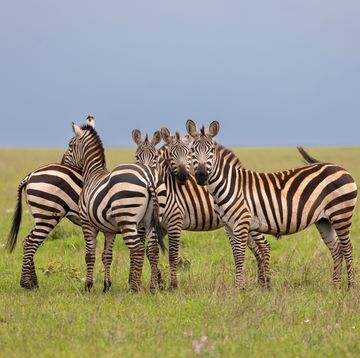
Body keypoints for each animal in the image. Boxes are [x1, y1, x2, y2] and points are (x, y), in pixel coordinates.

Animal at [62, 119, 167, 292]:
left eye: (70, 145)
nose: (62, 162)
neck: (92, 174)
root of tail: (148, 178)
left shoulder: (87, 223)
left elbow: (90, 255)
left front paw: (88, 286)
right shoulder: (109, 230)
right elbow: (107, 256)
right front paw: (106, 286)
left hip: (127, 218)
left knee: (138, 249)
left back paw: (135, 288)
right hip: (151, 220)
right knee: (152, 249)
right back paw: (152, 287)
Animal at [132, 127, 270, 290]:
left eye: (154, 158)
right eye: (137, 157)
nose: (184, 176)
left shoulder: (174, 221)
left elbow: (169, 254)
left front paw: (168, 285)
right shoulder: (159, 225)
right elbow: (150, 251)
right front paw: (154, 283)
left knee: (264, 246)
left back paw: (265, 283)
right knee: (256, 249)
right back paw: (260, 283)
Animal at [186, 119, 358, 288]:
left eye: (211, 151)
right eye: (192, 150)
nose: (201, 176)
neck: (228, 185)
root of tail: (337, 166)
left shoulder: (241, 223)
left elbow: (240, 255)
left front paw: (238, 288)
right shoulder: (229, 226)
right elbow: (236, 254)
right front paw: (240, 286)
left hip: (341, 214)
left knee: (347, 248)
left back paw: (350, 286)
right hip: (324, 221)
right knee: (336, 249)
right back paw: (335, 287)